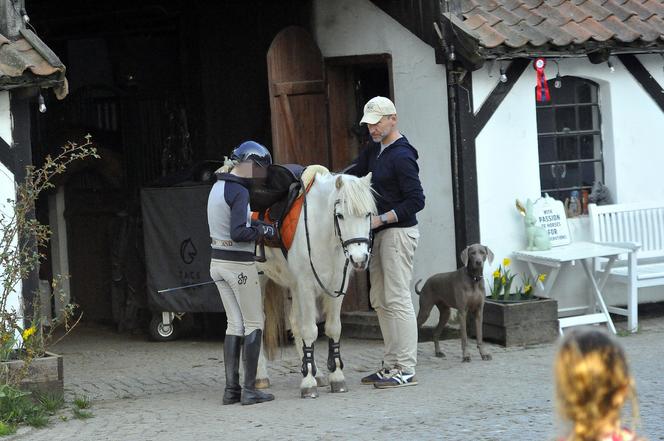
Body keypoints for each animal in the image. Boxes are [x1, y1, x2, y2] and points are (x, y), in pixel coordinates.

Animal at [256, 168, 376, 396]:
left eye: (368, 214)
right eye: (340, 215)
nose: (359, 259)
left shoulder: (337, 286)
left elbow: (333, 328)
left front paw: (335, 377)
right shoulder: (306, 286)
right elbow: (310, 330)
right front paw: (308, 383)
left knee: (294, 322)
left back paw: (316, 372)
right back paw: (260, 377)